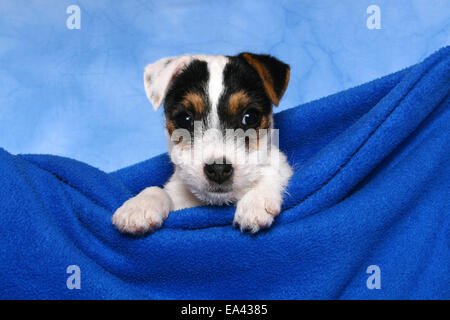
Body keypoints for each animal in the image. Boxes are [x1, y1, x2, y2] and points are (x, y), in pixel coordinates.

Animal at [113, 52, 292, 232]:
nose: (219, 169)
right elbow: (157, 189)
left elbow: (272, 172)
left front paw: (255, 200)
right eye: (184, 119)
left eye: (250, 117)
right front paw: (139, 206)